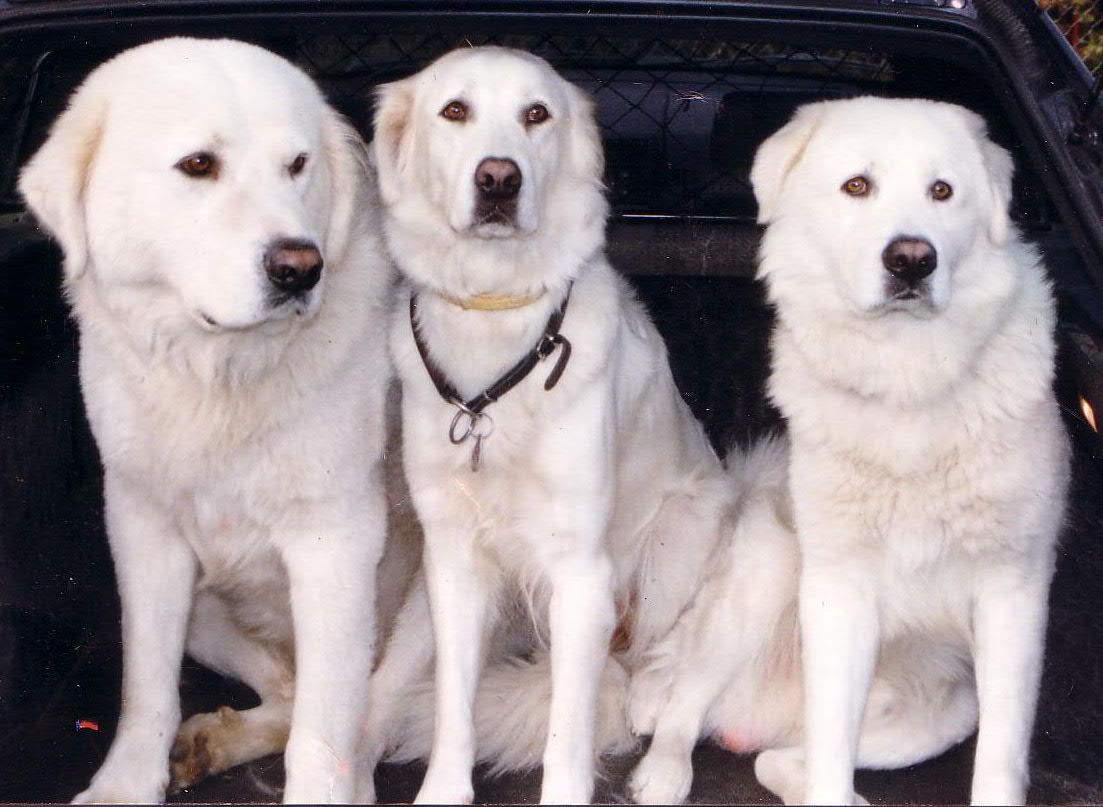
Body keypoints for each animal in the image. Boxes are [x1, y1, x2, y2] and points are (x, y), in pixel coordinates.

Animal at [19, 36, 394, 802]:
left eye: (297, 165)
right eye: (199, 165)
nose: (299, 267)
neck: (221, 375)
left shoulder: (337, 540)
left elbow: (324, 727)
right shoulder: (142, 528)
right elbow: (146, 687)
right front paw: (127, 784)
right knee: (284, 685)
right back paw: (211, 743)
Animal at [366, 47, 736, 802]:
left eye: (536, 114)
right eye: (454, 110)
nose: (498, 179)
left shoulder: (579, 575)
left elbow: (570, 727)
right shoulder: (454, 560)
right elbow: (452, 706)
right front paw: (442, 788)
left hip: (681, 530)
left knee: (652, 663)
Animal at [626, 95, 1072, 807]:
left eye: (942, 191)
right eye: (857, 187)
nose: (912, 259)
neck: (907, 380)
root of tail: (752, 713)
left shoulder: (1014, 593)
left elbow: (1001, 759)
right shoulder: (839, 591)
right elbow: (826, 748)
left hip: (945, 711)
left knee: (772, 759)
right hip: (765, 576)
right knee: (685, 699)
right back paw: (663, 771)